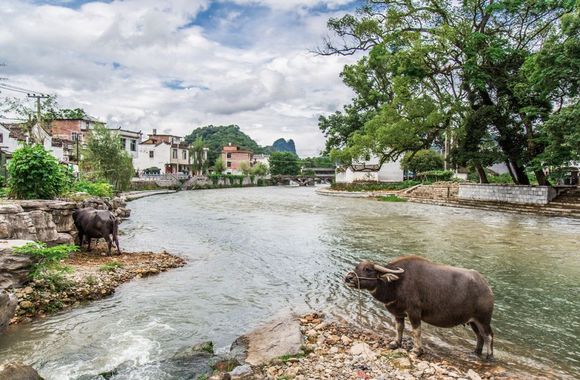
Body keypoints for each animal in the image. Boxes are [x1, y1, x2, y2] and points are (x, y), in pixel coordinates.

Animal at [344, 255, 494, 360]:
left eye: (368, 270)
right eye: (356, 267)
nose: (348, 278)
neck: (396, 284)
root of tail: (487, 287)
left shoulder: (414, 312)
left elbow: (416, 331)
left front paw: (417, 351)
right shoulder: (398, 314)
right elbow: (399, 328)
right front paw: (396, 343)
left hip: (483, 320)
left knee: (488, 336)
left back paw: (489, 357)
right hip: (473, 321)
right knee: (480, 337)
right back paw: (475, 353)